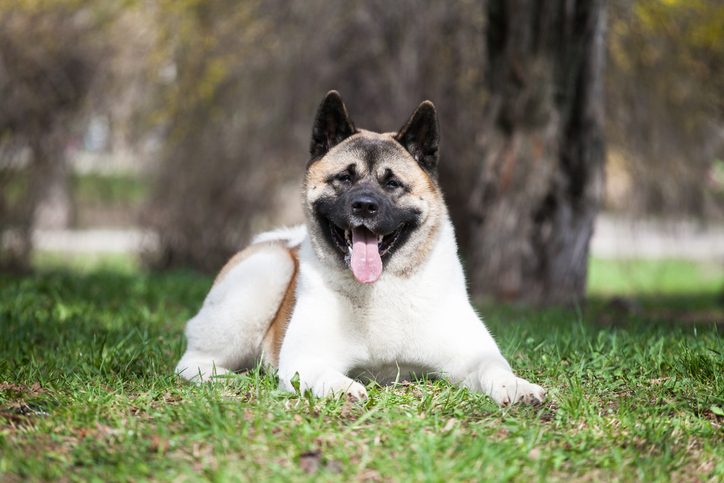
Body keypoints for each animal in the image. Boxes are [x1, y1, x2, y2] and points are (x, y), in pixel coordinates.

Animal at [177, 90, 544, 404]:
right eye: (344, 178)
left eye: (392, 183)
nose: (365, 206)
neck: (380, 288)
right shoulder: (305, 359)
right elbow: (322, 374)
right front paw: (342, 387)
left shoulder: (473, 355)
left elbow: (493, 369)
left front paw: (518, 387)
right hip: (267, 272)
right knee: (192, 362)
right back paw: (230, 379)